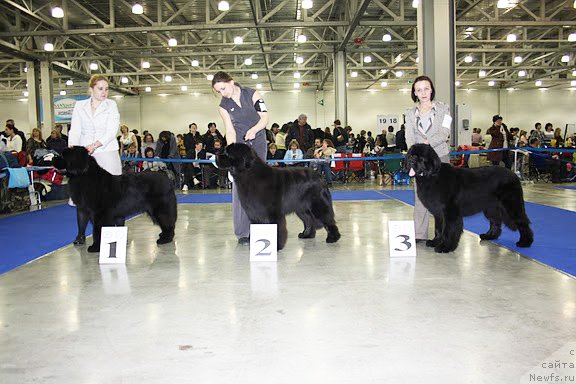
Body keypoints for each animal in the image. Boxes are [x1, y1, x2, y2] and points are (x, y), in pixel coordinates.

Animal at [404, 143, 532, 252]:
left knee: (522, 222)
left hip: (511, 205)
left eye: (419, 158)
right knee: (495, 221)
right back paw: (489, 236)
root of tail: (514, 174)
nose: (410, 161)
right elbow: (438, 229)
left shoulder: (450, 212)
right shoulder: (438, 212)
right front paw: (435, 242)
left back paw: (525, 242)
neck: (432, 176)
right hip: (491, 207)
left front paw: (445, 247)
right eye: (410, 155)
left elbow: (448, 230)